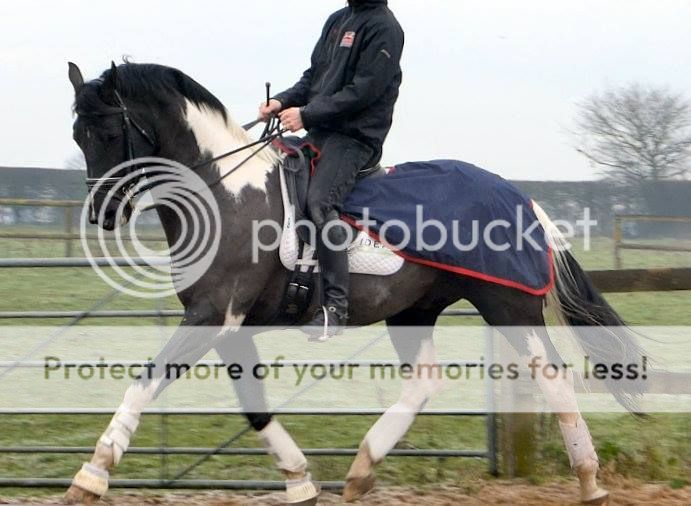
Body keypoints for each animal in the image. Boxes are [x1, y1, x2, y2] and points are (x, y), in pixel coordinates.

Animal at [64, 61, 643, 505]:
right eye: (77, 136)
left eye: (111, 133)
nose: (102, 215)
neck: (225, 192)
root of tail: (518, 195)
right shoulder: (230, 327)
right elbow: (254, 406)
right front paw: (300, 481)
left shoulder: (210, 317)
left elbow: (143, 382)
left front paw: (92, 474)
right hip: (413, 311)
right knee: (425, 381)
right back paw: (363, 467)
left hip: (507, 305)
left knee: (554, 377)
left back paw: (590, 480)